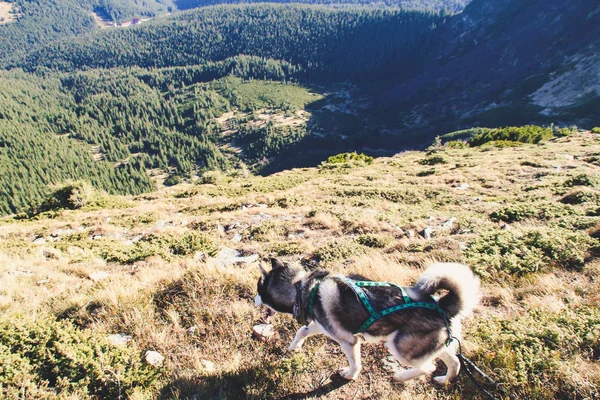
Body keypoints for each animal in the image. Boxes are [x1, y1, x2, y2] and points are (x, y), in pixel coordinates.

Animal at [253, 258, 478, 382]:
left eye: (258, 290)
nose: (253, 300)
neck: (301, 287)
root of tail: (442, 305)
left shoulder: (349, 340)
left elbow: (355, 363)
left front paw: (350, 375)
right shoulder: (323, 325)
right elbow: (302, 331)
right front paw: (294, 347)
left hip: (399, 347)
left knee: (427, 367)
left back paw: (401, 376)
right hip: (431, 346)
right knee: (454, 361)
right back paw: (444, 380)